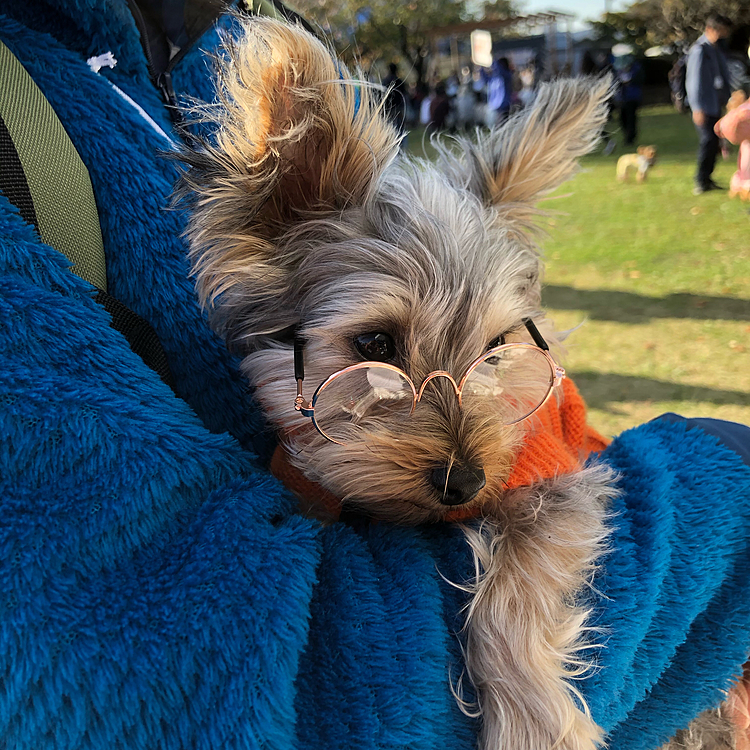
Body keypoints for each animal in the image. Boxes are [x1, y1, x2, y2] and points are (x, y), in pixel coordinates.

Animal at [178, 17, 736, 750]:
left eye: (496, 348)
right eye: (375, 345)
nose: (466, 482)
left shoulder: (560, 477)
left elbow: (519, 578)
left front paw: (533, 723)